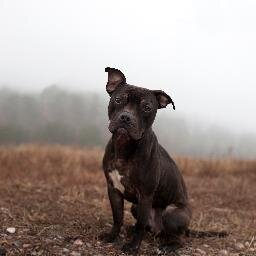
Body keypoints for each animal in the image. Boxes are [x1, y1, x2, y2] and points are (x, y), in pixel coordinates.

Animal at [100, 67, 192, 255]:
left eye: (147, 108)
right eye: (118, 99)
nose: (126, 117)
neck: (124, 146)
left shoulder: (145, 195)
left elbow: (140, 226)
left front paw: (133, 247)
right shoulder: (113, 190)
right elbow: (117, 218)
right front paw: (112, 236)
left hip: (171, 212)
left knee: (178, 238)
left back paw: (168, 246)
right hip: (135, 207)